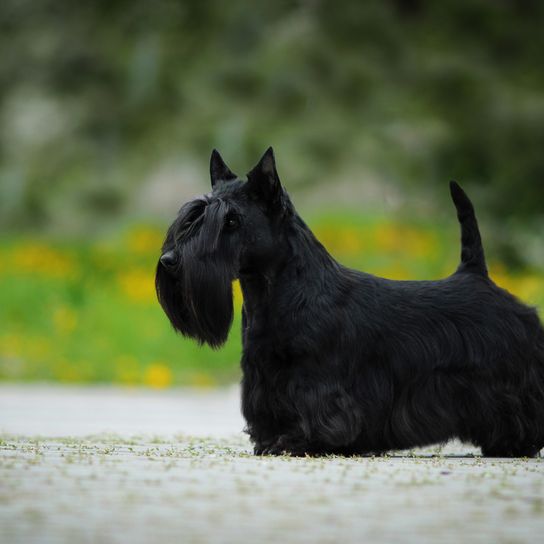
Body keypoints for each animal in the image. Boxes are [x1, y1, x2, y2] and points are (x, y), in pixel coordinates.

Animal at [154, 147, 544, 456]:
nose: (170, 261)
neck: (273, 293)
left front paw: (297, 442)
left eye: (231, 220)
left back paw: (515, 442)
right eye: (191, 218)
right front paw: (269, 440)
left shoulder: (317, 379)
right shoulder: (262, 375)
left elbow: (318, 415)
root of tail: (477, 275)